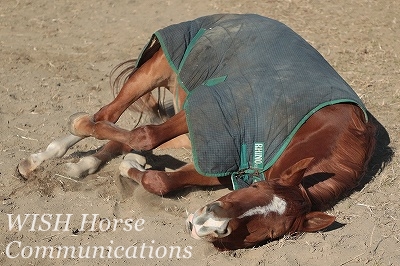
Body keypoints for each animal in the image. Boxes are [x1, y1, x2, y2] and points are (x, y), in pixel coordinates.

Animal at [18, 14, 376, 251]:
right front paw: (123, 156)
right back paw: (59, 145)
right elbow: (145, 136)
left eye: (269, 235)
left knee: (118, 130)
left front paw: (132, 166)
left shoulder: (222, 160)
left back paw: (77, 164)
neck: (323, 136)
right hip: (155, 76)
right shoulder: (210, 110)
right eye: (256, 188)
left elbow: (162, 179)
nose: (209, 223)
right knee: (107, 115)